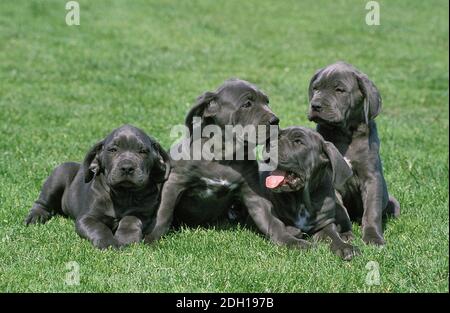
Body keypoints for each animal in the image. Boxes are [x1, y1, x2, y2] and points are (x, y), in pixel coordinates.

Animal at [25, 124, 171, 249]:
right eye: (112, 150)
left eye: (143, 151)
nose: (127, 167)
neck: (123, 194)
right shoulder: (86, 218)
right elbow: (99, 228)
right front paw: (108, 243)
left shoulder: (143, 214)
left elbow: (130, 220)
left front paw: (126, 239)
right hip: (59, 175)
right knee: (41, 203)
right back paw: (35, 217)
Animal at [146, 78, 314, 249]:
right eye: (247, 104)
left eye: (267, 102)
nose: (275, 121)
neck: (223, 154)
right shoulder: (174, 181)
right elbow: (164, 212)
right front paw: (150, 238)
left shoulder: (253, 193)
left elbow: (270, 220)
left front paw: (291, 241)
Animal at [262, 125, 360, 260]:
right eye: (279, 136)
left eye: (298, 142)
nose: (269, 143)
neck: (301, 200)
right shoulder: (276, 224)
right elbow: (287, 237)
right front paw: (303, 244)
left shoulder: (325, 224)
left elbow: (333, 236)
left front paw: (344, 247)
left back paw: (346, 235)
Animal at [308, 62, 400, 245]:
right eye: (315, 88)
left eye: (339, 90)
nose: (315, 105)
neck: (344, 133)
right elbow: (340, 211)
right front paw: (344, 234)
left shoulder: (372, 177)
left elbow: (372, 211)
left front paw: (373, 237)